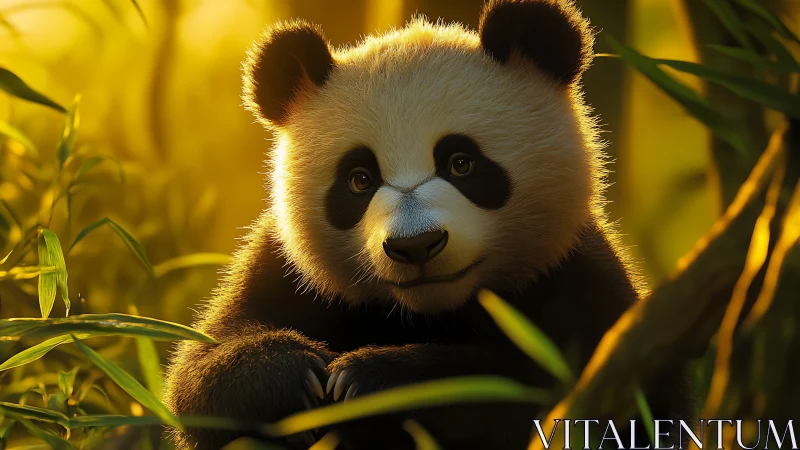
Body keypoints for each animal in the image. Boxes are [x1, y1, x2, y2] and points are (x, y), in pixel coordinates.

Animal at [163, 0, 692, 448]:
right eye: (359, 179)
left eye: (461, 163)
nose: (417, 246)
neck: (430, 309)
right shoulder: (288, 269)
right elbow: (197, 374)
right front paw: (292, 374)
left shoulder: (574, 271)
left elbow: (547, 390)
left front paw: (369, 380)